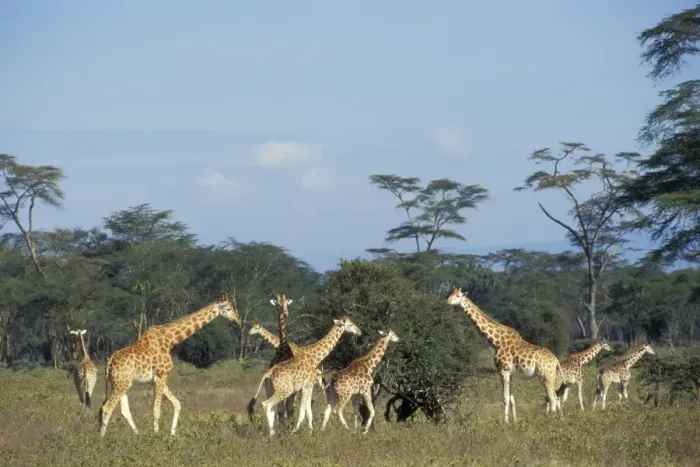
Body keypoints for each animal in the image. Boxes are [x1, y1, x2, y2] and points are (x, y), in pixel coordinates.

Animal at [97, 292, 241, 437]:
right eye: (229, 308)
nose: (237, 320)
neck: (170, 340)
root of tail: (109, 362)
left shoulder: (155, 379)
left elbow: (177, 403)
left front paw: (172, 433)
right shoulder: (161, 375)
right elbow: (156, 410)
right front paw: (156, 435)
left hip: (120, 383)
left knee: (123, 410)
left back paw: (137, 435)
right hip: (122, 383)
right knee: (107, 407)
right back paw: (101, 437)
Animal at [446, 287, 565, 423]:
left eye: (458, 296)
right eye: (450, 293)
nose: (447, 302)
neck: (495, 341)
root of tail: (556, 360)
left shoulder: (503, 370)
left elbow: (505, 398)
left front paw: (505, 422)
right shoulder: (510, 373)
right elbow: (512, 399)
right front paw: (515, 421)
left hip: (545, 376)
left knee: (553, 398)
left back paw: (551, 420)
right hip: (549, 376)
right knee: (556, 397)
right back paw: (560, 419)